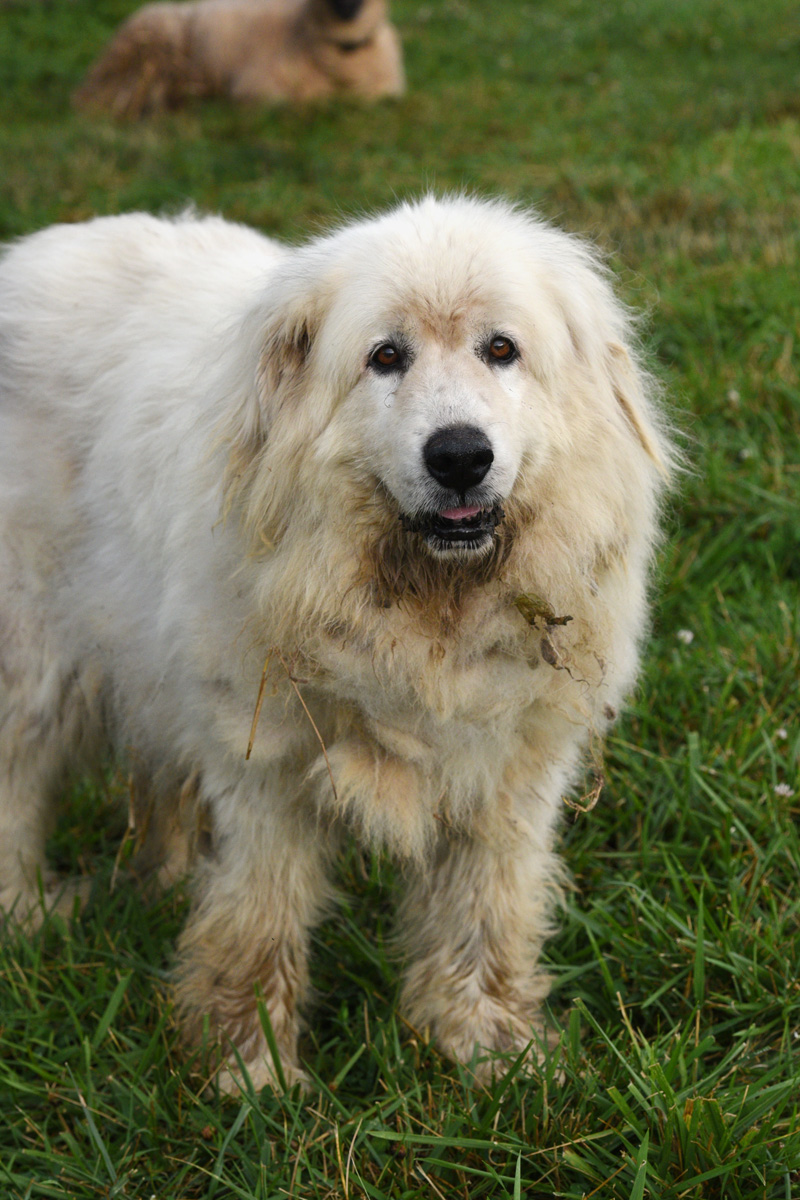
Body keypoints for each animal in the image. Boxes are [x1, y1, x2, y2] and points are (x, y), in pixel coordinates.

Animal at [0, 197, 674, 1090]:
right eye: (386, 357)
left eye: (501, 349)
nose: (460, 455)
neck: (423, 611)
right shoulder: (267, 772)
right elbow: (260, 919)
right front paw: (250, 1073)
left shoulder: (507, 776)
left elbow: (484, 916)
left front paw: (490, 1050)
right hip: (35, 660)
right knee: (16, 785)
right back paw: (25, 916)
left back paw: (164, 880)